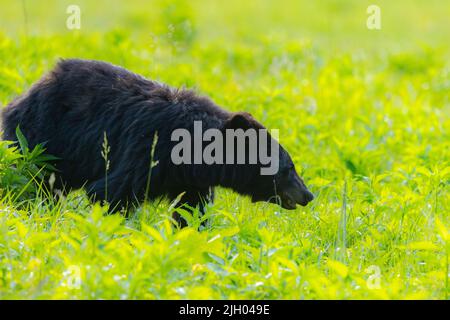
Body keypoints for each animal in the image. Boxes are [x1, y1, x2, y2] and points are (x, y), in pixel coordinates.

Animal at [1, 58, 312, 226]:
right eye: (289, 168)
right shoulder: (147, 147)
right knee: (32, 181)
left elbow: (191, 210)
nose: (309, 195)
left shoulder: (191, 179)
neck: (195, 150)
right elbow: (112, 192)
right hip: (40, 137)